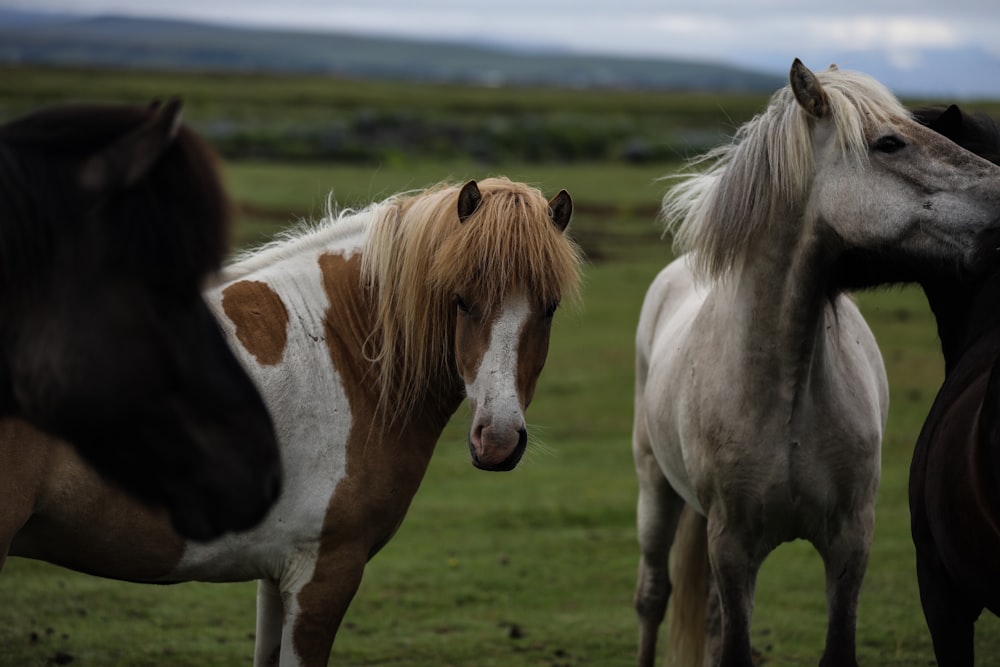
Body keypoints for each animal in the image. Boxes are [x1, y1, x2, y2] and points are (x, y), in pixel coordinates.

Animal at [0, 177, 584, 667]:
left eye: (550, 307)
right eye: (460, 300)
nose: (498, 440)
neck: (344, 349)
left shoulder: (276, 576)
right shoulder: (323, 574)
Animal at [636, 58, 1000, 667]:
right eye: (889, 143)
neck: (782, 387)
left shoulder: (850, 544)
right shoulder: (732, 547)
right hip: (656, 490)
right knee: (652, 597)